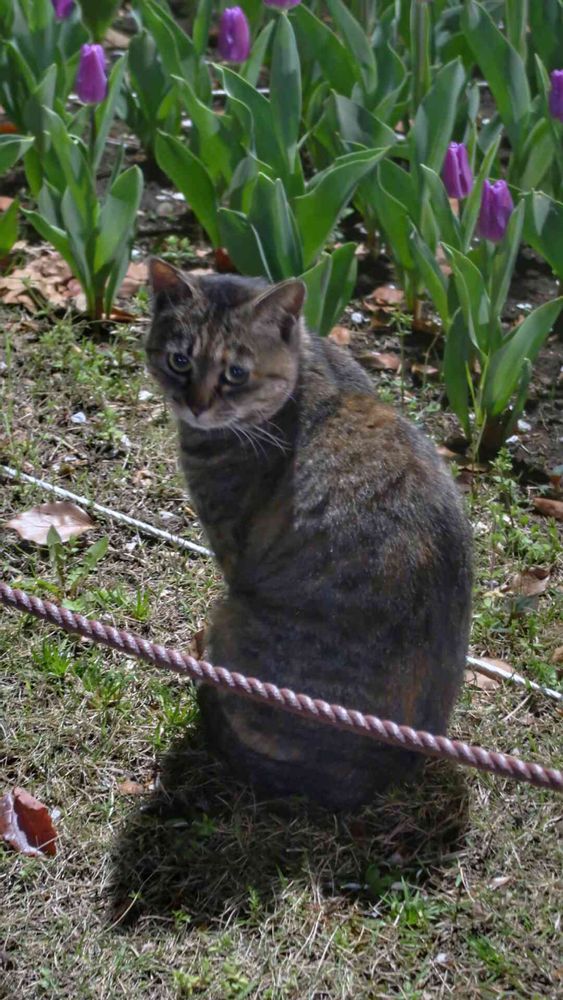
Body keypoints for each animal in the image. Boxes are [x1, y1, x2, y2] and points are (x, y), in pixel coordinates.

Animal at [145, 260, 472, 812]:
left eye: (236, 373)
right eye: (179, 359)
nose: (197, 406)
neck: (307, 369)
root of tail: (390, 765)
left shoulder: (232, 552)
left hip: (231, 613)